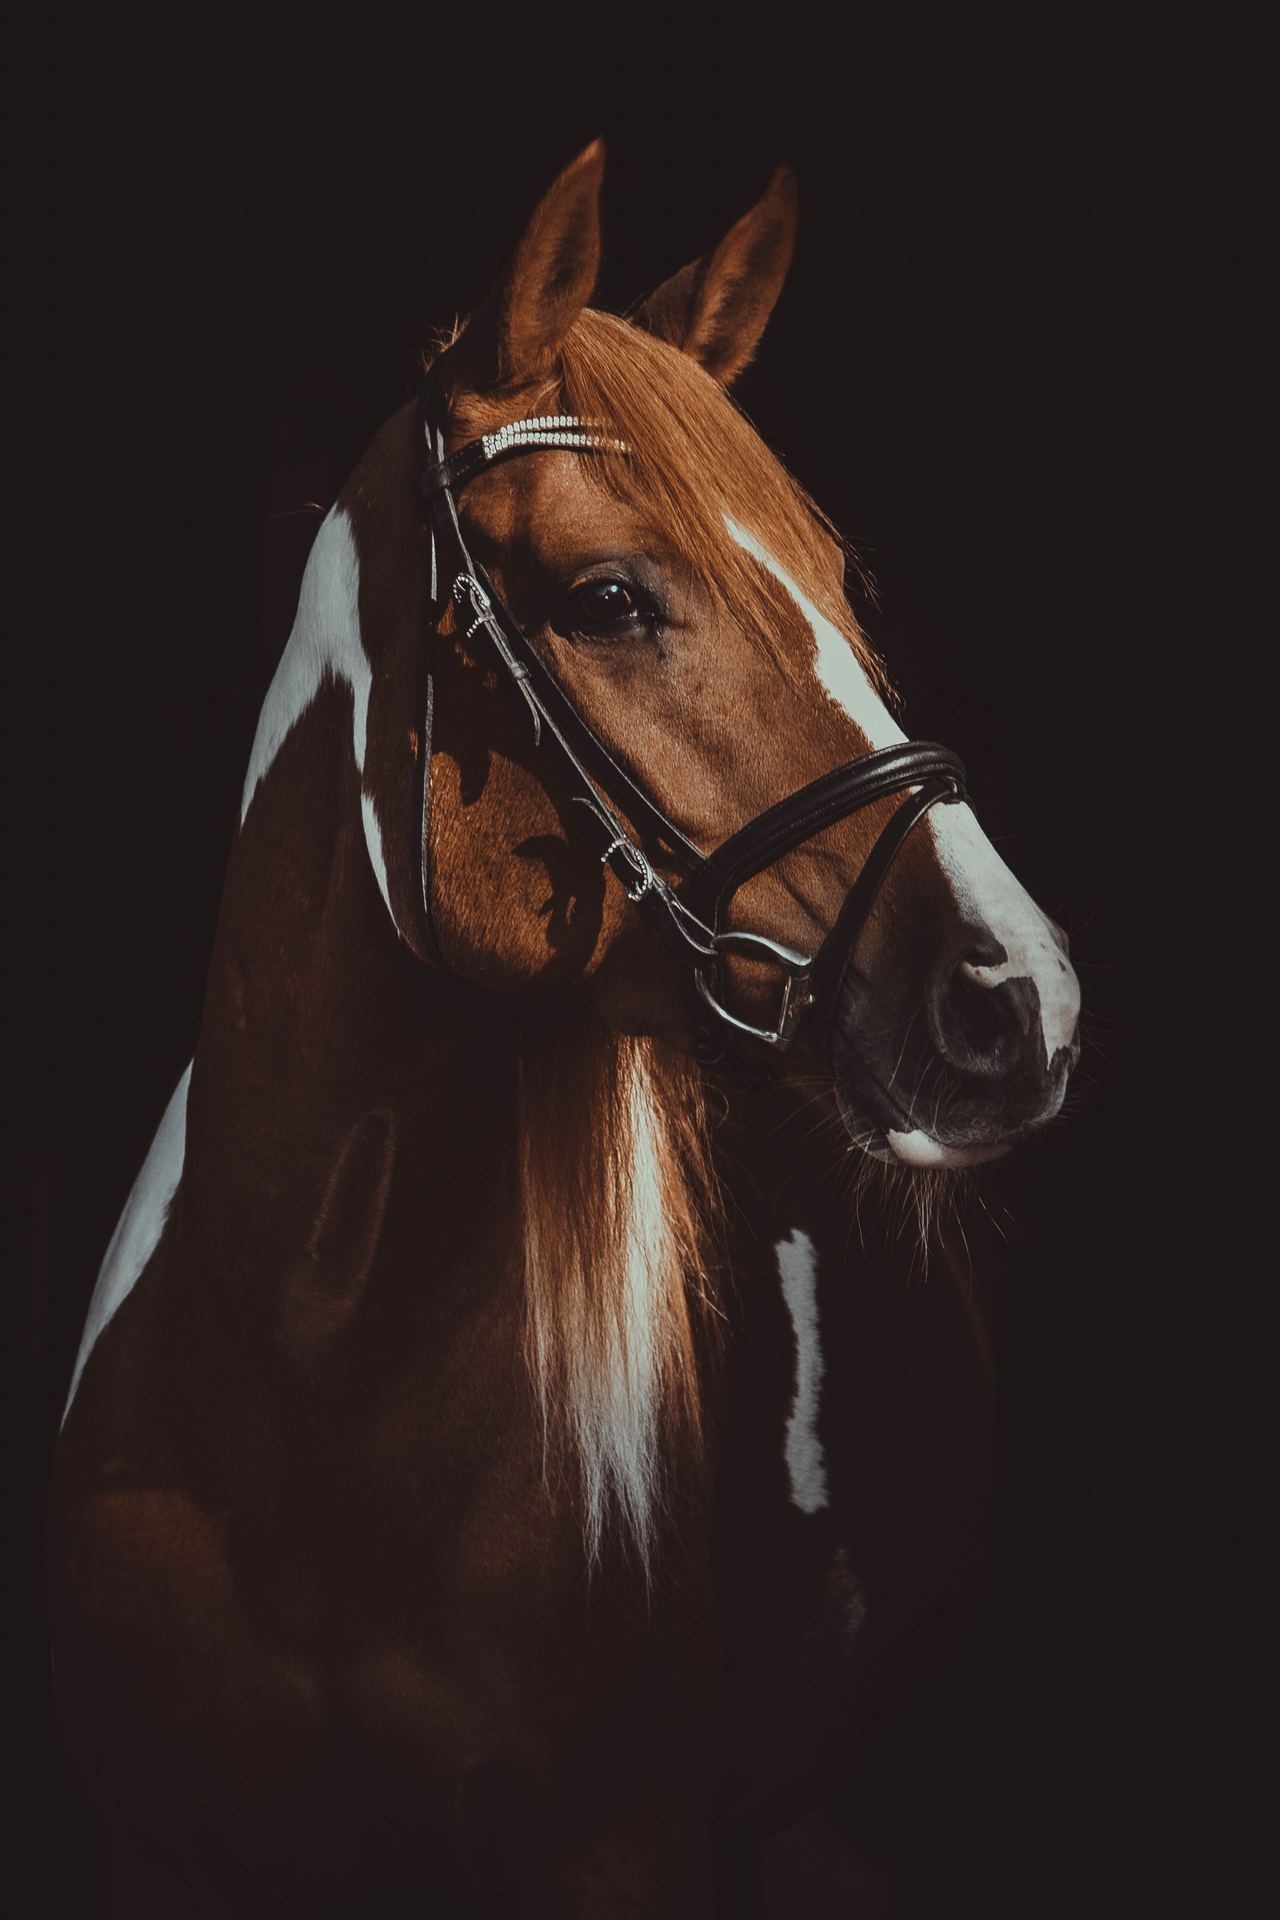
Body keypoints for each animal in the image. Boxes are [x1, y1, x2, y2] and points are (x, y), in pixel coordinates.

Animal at [49, 140, 1081, 1916]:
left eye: (839, 585)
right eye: (607, 598)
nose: (1018, 997)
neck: (309, 1379)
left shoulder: (623, 1853)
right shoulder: (154, 1849)